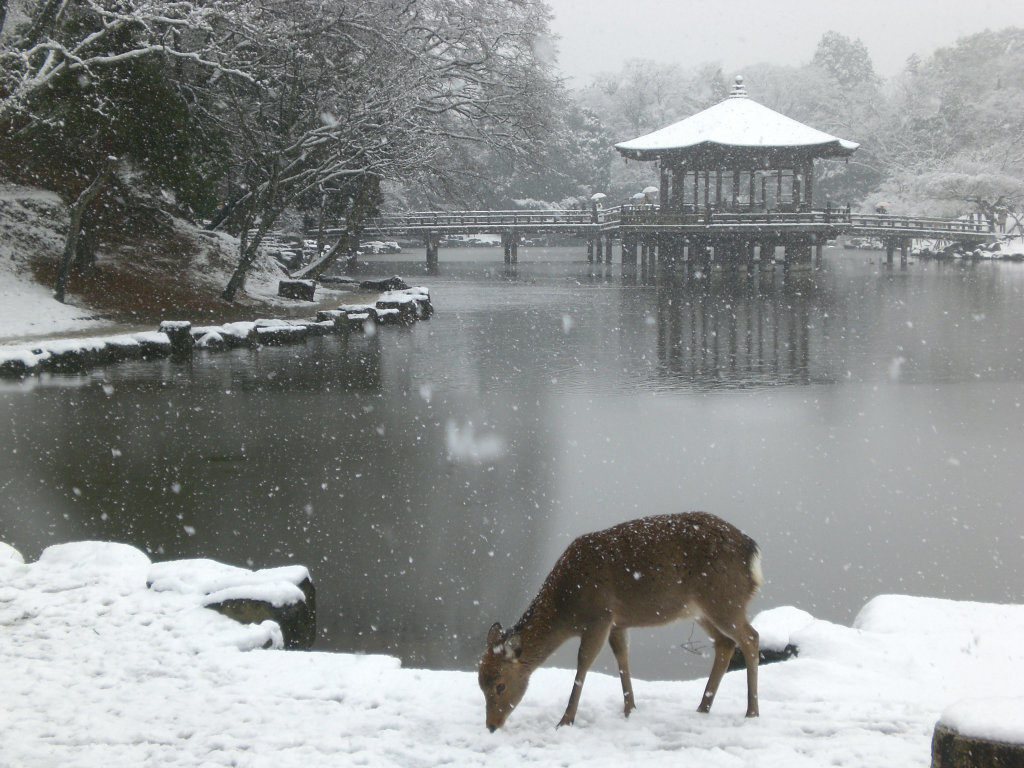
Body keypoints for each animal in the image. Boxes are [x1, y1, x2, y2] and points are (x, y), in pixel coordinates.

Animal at [478, 512, 762, 731]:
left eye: (500, 685)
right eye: (480, 684)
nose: (491, 725)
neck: (567, 607)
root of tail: (752, 553)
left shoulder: (600, 616)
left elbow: (583, 664)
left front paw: (565, 720)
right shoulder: (617, 622)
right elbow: (622, 658)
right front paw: (629, 709)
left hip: (724, 600)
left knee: (751, 637)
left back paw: (751, 712)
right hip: (701, 610)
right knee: (725, 644)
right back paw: (703, 706)